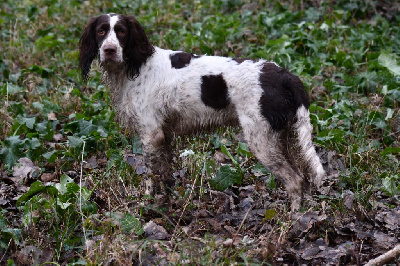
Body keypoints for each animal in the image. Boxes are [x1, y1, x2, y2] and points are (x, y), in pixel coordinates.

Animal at [78, 13, 324, 212]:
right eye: (101, 31)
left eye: (121, 31)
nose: (109, 50)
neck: (136, 66)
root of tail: (285, 75)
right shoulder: (165, 135)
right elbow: (165, 174)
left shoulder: (151, 134)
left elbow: (150, 175)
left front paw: (146, 204)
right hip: (284, 138)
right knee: (303, 179)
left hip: (262, 141)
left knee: (295, 181)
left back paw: (291, 219)